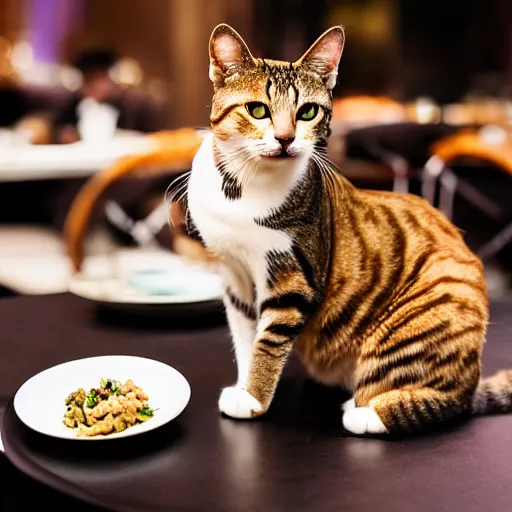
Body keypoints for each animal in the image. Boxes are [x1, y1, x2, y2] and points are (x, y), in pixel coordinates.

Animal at [186, 22, 512, 434]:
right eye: (257, 110)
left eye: (307, 112)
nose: (286, 138)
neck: (243, 185)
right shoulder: (235, 274)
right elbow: (246, 339)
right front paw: (245, 388)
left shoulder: (293, 276)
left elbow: (269, 340)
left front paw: (255, 399)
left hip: (427, 311)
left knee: (449, 399)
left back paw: (366, 413)